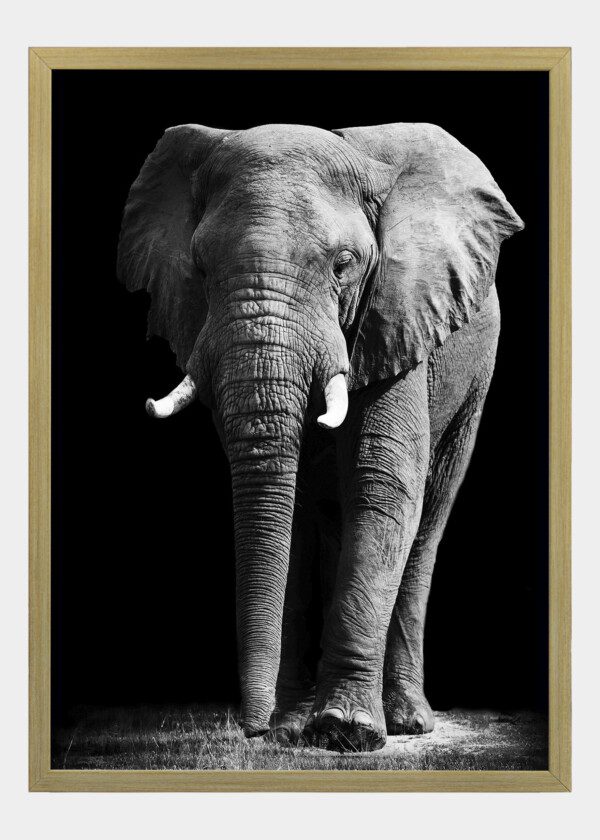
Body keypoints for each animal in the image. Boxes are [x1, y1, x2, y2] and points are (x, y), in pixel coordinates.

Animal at [117, 122, 523, 752]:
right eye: (200, 269)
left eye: (344, 264)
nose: (253, 729)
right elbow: (297, 508)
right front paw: (292, 730)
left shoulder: (397, 314)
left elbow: (382, 486)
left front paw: (345, 732)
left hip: (475, 378)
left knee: (427, 521)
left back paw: (405, 722)